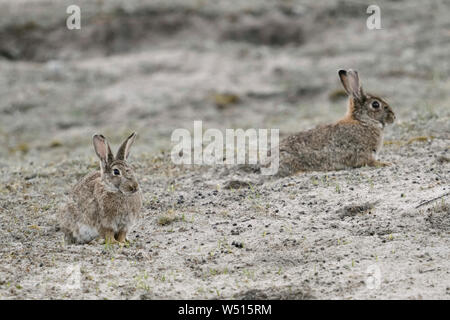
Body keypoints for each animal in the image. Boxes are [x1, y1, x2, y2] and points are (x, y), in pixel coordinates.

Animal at [262, 69, 396, 178]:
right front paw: (386, 163)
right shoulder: (363, 153)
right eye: (375, 104)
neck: (363, 121)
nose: (393, 117)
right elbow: (369, 162)